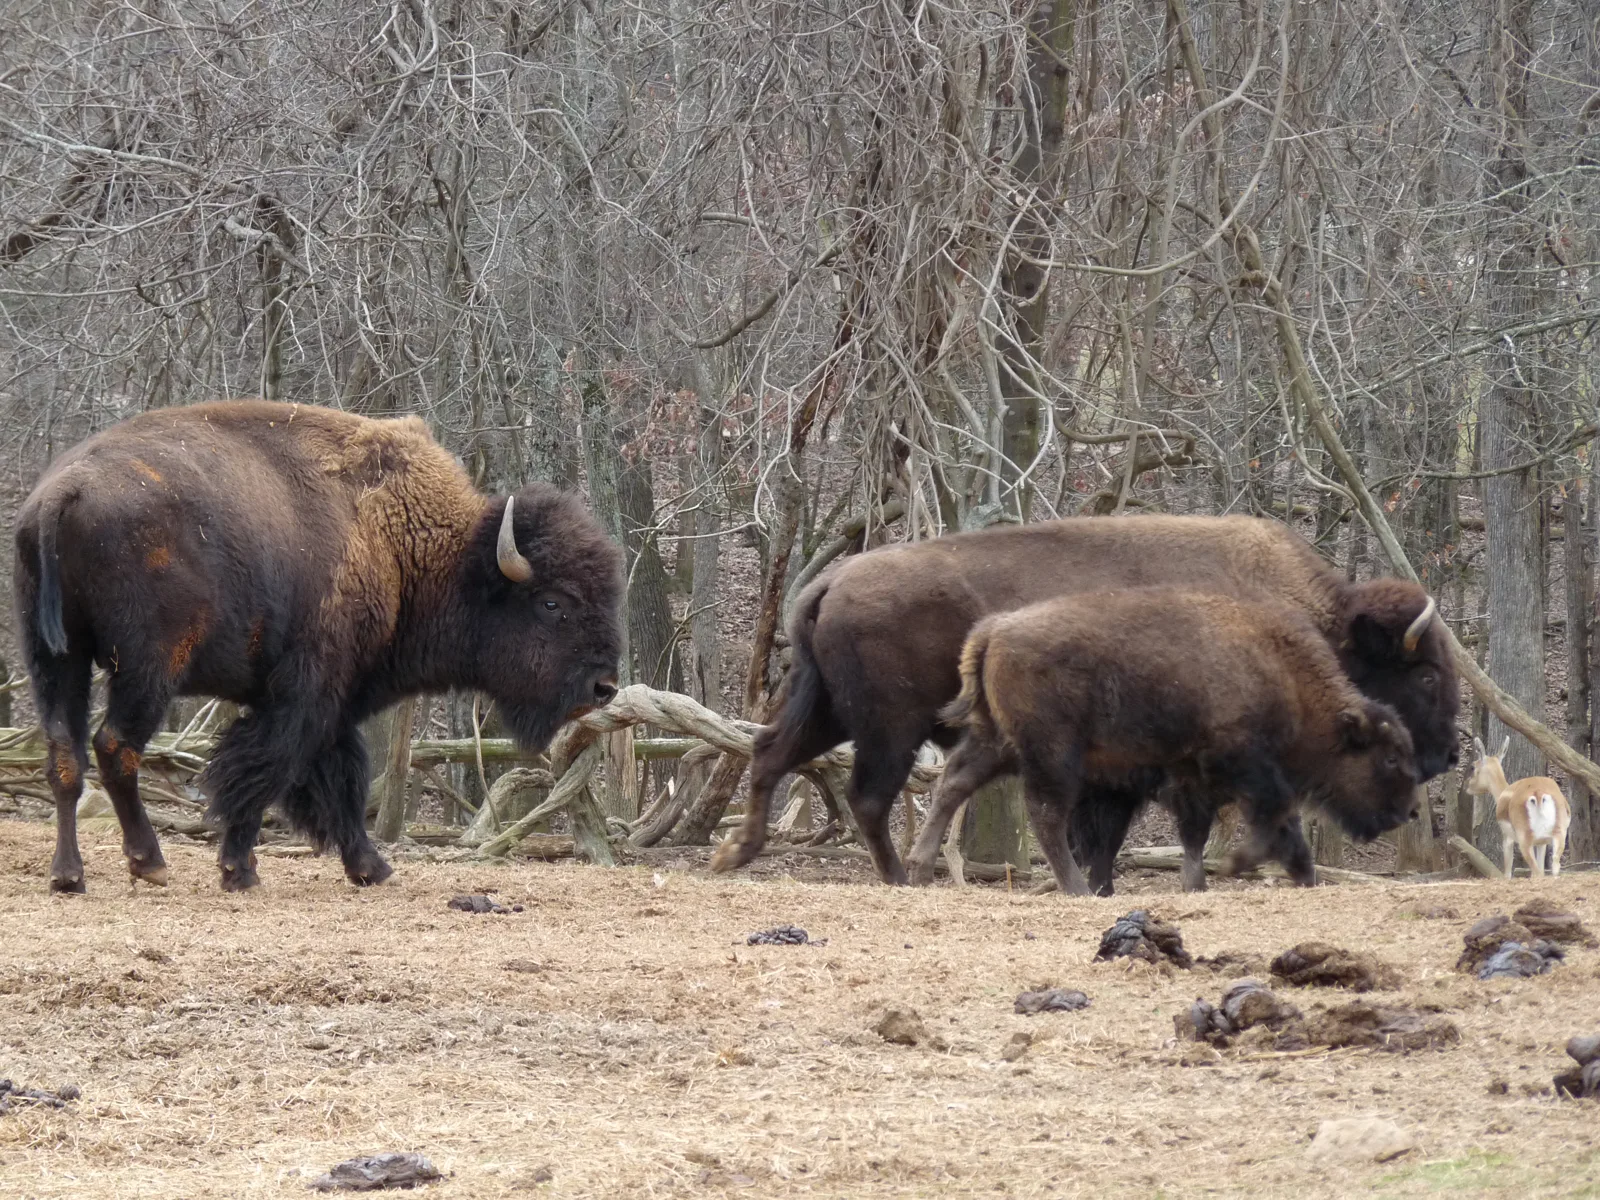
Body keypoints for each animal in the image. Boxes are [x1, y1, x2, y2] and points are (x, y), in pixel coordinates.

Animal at [14, 400, 623, 893]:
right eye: (552, 603)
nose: (604, 686)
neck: (407, 546)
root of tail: (63, 490)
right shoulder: (307, 693)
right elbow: (268, 771)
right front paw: (241, 871)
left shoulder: (330, 702)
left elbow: (335, 781)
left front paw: (370, 868)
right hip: (147, 668)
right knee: (114, 746)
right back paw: (150, 863)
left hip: (55, 660)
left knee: (64, 755)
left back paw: (68, 876)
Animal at [904, 589, 1423, 893]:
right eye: (1390, 758)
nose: (1408, 811)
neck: (1280, 674)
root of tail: (995, 629)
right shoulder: (1234, 774)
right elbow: (1257, 824)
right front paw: (1241, 869)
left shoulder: (1188, 781)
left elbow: (1200, 836)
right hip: (1052, 756)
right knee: (1046, 816)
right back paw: (1075, 888)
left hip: (998, 742)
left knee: (954, 783)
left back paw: (919, 866)